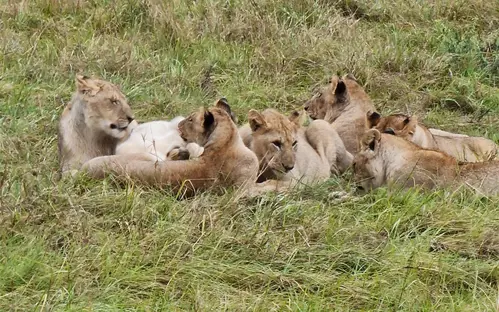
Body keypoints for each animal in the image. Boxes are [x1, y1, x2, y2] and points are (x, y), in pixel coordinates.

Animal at [81, 98, 262, 196]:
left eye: (190, 119)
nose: (179, 124)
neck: (226, 140)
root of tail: (83, 172)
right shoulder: (243, 189)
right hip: (148, 156)